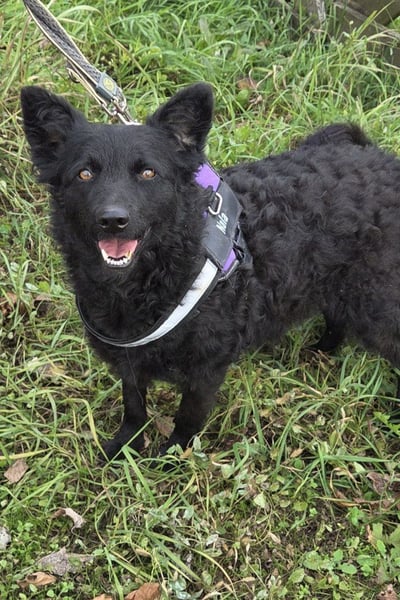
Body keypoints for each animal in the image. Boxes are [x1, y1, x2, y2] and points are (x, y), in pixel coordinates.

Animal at [21, 82, 400, 460]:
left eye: (148, 172)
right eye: (84, 173)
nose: (113, 220)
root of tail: (379, 157)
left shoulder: (206, 369)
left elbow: (187, 418)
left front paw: (173, 458)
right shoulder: (130, 360)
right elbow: (134, 406)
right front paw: (126, 445)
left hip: (378, 306)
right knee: (338, 318)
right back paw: (320, 351)